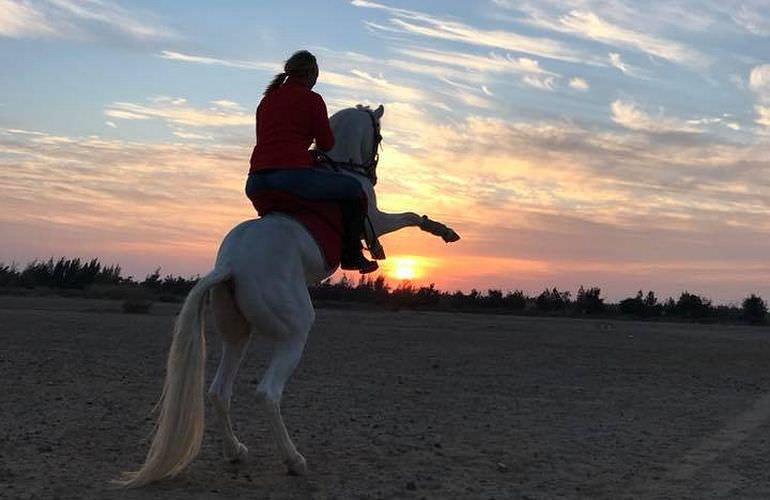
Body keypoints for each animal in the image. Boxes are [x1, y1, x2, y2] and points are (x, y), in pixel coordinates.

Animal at [117, 103, 460, 486]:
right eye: (380, 135)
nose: (372, 174)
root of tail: (231, 264)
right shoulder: (374, 217)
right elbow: (409, 216)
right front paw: (440, 231)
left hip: (238, 334)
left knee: (219, 391)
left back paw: (236, 451)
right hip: (294, 330)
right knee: (268, 393)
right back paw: (294, 460)